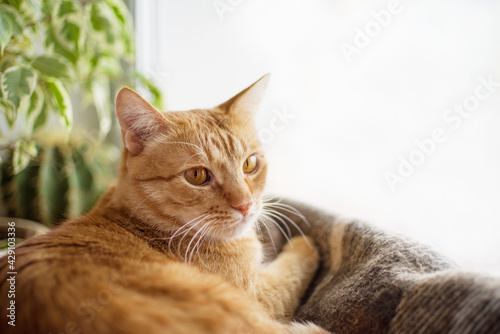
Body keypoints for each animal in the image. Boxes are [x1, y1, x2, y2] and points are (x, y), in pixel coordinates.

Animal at [0, 75, 328, 334]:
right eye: (197, 176)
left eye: (250, 164)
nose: (246, 205)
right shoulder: (263, 295)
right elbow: (296, 265)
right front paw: (307, 242)